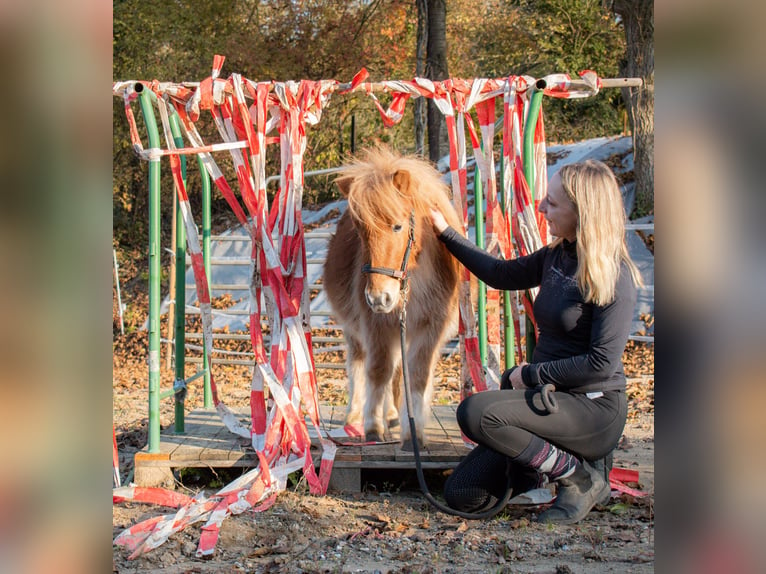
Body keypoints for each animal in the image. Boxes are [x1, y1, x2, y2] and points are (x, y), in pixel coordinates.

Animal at [322, 148, 464, 450]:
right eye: (360, 231)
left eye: (398, 227)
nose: (378, 297)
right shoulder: (376, 326)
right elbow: (378, 371)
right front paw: (373, 428)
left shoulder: (430, 328)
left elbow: (417, 377)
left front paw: (414, 433)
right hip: (356, 333)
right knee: (359, 366)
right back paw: (356, 417)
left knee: (398, 374)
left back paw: (395, 415)